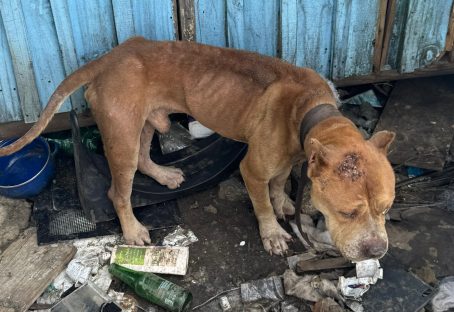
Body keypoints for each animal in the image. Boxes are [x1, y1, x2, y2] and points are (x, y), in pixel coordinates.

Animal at [0, 37, 396, 260]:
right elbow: (262, 203)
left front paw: (284, 200)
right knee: (118, 191)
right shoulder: (252, 169)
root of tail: (109, 57)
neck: (311, 109)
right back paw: (132, 230)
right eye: (347, 212)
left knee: (144, 156)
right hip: (121, 133)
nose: (377, 251)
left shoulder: (291, 157)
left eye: (386, 208)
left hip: (146, 121)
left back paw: (163, 175)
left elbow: (279, 181)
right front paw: (272, 233)